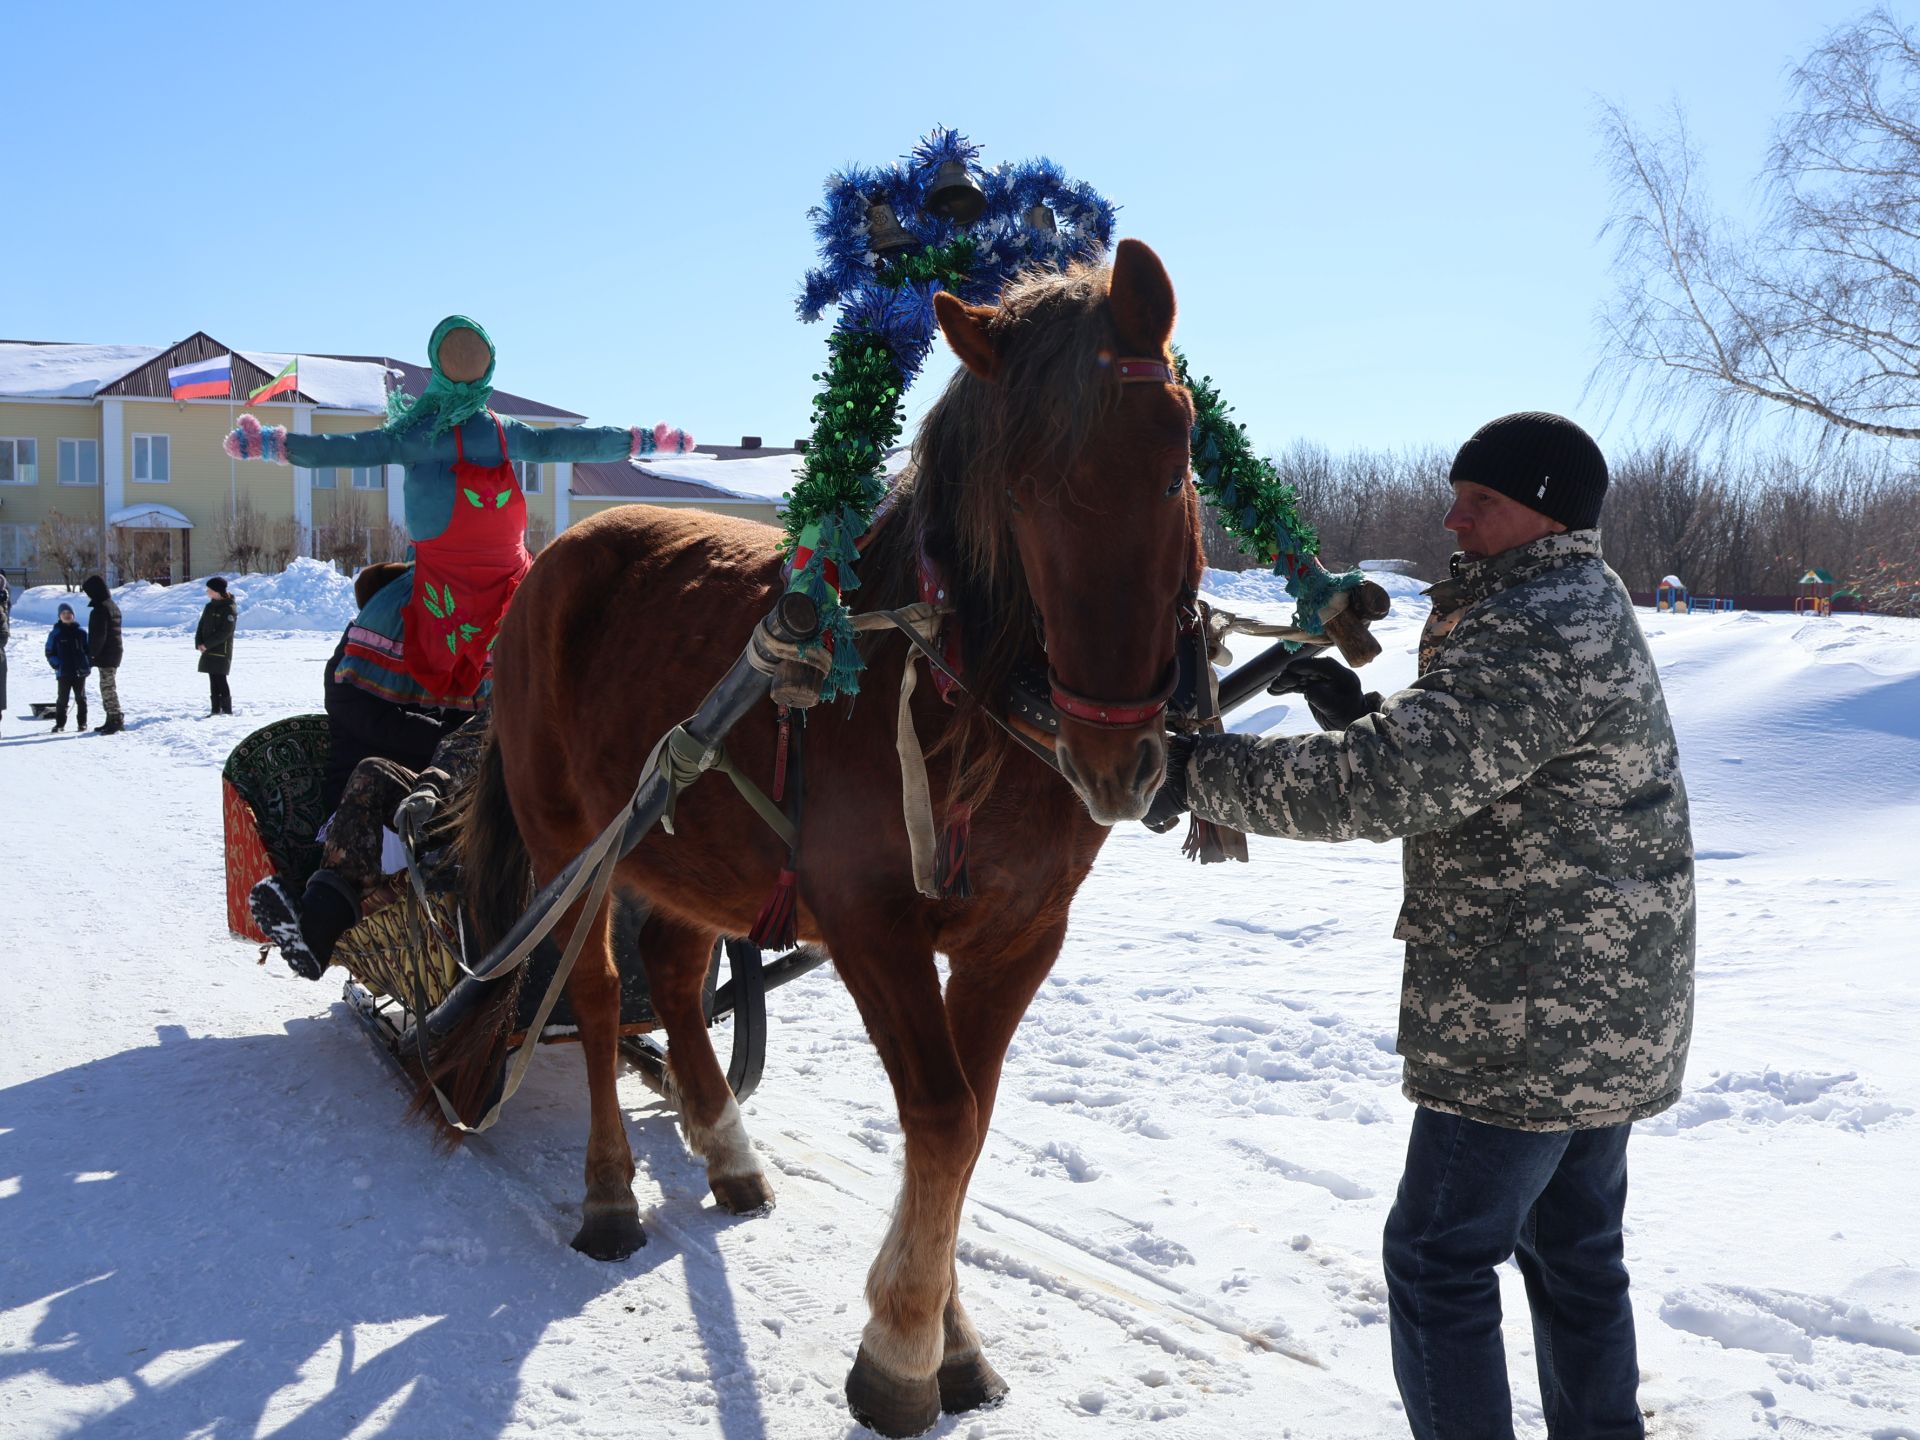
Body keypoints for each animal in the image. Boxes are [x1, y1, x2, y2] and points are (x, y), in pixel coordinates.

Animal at [449, 242, 1198, 1436]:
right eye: (1024, 492)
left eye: (1175, 472)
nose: (1115, 753)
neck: (961, 697)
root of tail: (559, 557)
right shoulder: (871, 925)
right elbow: (941, 1114)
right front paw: (901, 1349)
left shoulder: (1020, 937)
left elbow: (972, 1120)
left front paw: (948, 1337)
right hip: (577, 842)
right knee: (604, 997)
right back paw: (611, 1193)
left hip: (691, 848)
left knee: (673, 973)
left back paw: (726, 1146)